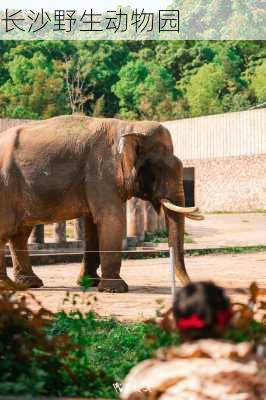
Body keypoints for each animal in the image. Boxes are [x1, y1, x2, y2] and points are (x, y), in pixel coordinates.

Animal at [0, 114, 202, 292]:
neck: (129, 127)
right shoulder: (102, 172)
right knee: (7, 229)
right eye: (159, 169)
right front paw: (116, 289)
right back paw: (7, 286)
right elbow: (111, 219)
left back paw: (30, 283)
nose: (191, 286)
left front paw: (89, 283)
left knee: (20, 233)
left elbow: (92, 225)